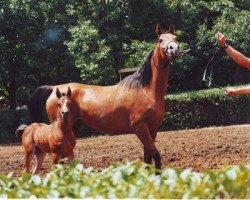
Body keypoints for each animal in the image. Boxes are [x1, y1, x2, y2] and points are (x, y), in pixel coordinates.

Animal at [27, 24, 180, 170]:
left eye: (176, 37)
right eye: (160, 40)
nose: (174, 49)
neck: (146, 91)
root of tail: (54, 88)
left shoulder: (152, 130)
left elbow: (148, 158)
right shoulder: (140, 129)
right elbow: (156, 156)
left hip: (74, 127)